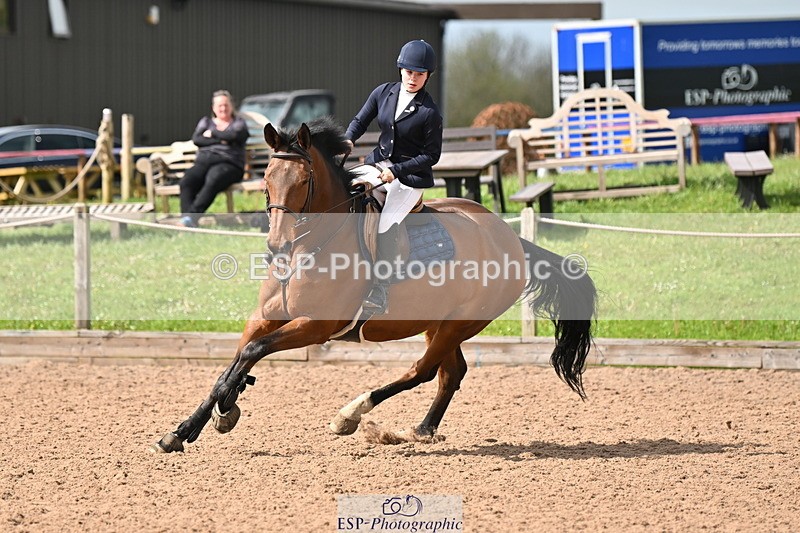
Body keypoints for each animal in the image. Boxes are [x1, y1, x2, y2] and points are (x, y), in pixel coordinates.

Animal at [151, 117, 596, 453]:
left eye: (303, 182)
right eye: (267, 180)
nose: (276, 246)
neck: (306, 249)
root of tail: (510, 238)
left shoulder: (316, 325)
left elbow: (252, 352)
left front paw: (227, 407)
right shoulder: (264, 317)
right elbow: (235, 360)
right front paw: (188, 427)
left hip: (461, 323)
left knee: (422, 370)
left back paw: (350, 415)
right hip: (440, 323)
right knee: (451, 373)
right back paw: (421, 429)